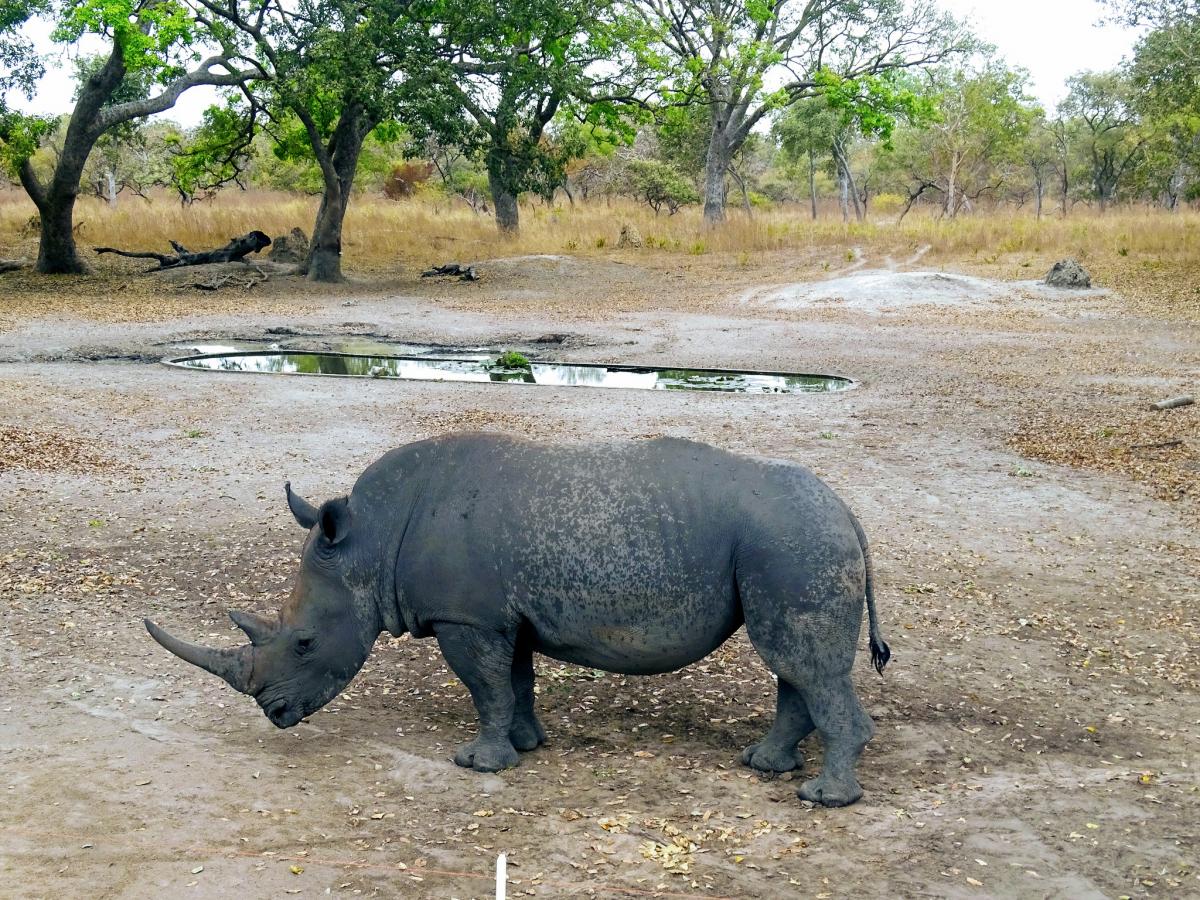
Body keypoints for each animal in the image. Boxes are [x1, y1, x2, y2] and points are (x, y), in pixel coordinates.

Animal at [146, 433, 890, 807]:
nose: (273, 714)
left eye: (304, 642)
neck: (371, 540)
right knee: (791, 662)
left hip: (792, 542)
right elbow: (517, 682)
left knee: (799, 661)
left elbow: (486, 688)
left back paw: (823, 798)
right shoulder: (500, 615)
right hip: (789, 542)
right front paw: (528, 746)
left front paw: (478, 763)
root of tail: (850, 510)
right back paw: (765, 766)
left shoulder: (465, 619)